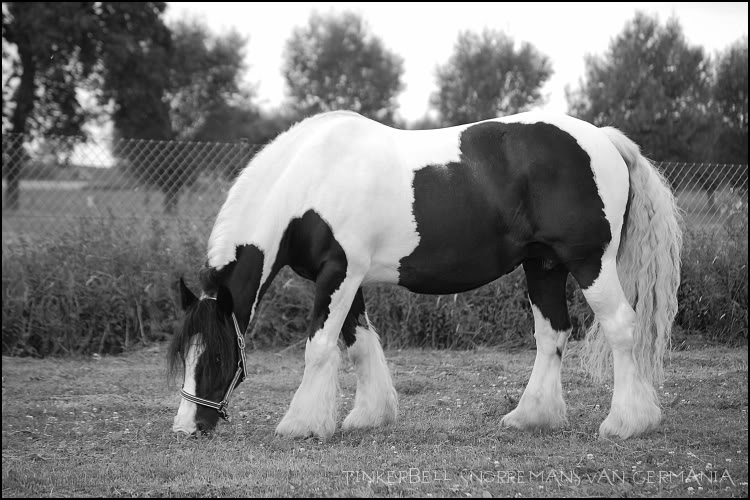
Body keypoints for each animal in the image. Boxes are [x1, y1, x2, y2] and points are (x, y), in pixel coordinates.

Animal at [167, 110, 684, 442]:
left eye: (216, 357)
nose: (188, 427)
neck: (311, 183)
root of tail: (604, 139)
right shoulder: (345, 277)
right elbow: (358, 343)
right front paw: (369, 416)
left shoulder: (339, 272)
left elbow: (320, 347)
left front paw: (301, 424)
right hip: (543, 265)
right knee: (552, 333)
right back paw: (530, 416)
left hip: (588, 262)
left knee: (621, 328)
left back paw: (625, 424)